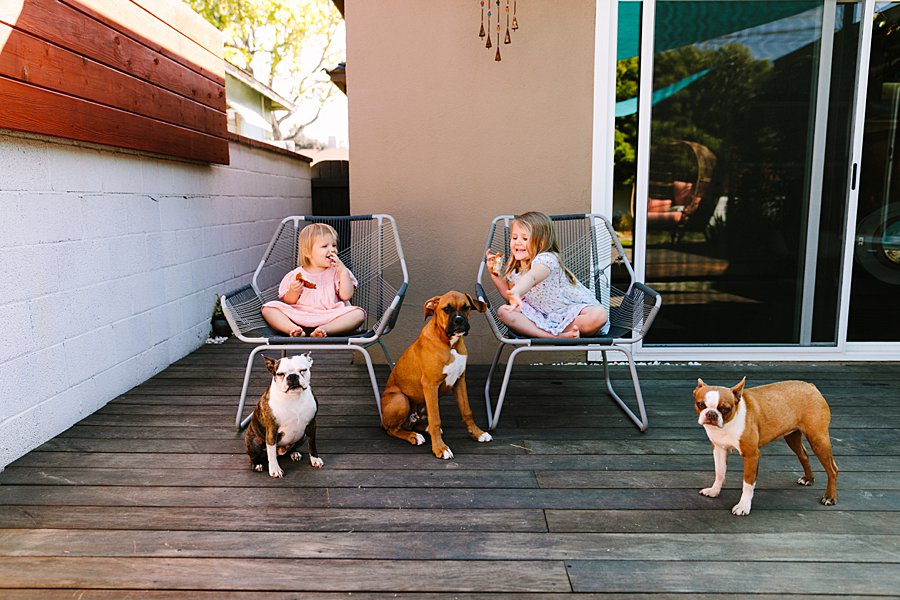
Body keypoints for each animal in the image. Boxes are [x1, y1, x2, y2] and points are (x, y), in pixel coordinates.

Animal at [380, 291, 493, 459]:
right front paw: (440, 448)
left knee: (413, 423)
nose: (459, 320)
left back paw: (423, 429)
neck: (450, 345)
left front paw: (478, 433)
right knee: (392, 429)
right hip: (401, 399)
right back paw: (413, 436)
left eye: (466, 307)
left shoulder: (460, 381)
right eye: (446, 309)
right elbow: (435, 419)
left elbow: (467, 411)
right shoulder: (430, 385)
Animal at [693, 377, 838, 516]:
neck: (728, 424)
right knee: (804, 455)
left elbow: (747, 482)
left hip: (818, 439)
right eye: (701, 404)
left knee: (832, 469)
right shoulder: (719, 449)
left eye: (724, 409)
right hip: (792, 437)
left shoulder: (751, 455)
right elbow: (719, 471)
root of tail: (811, 387)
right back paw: (808, 479)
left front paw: (743, 506)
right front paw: (714, 490)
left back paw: (830, 497)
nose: (711, 413)